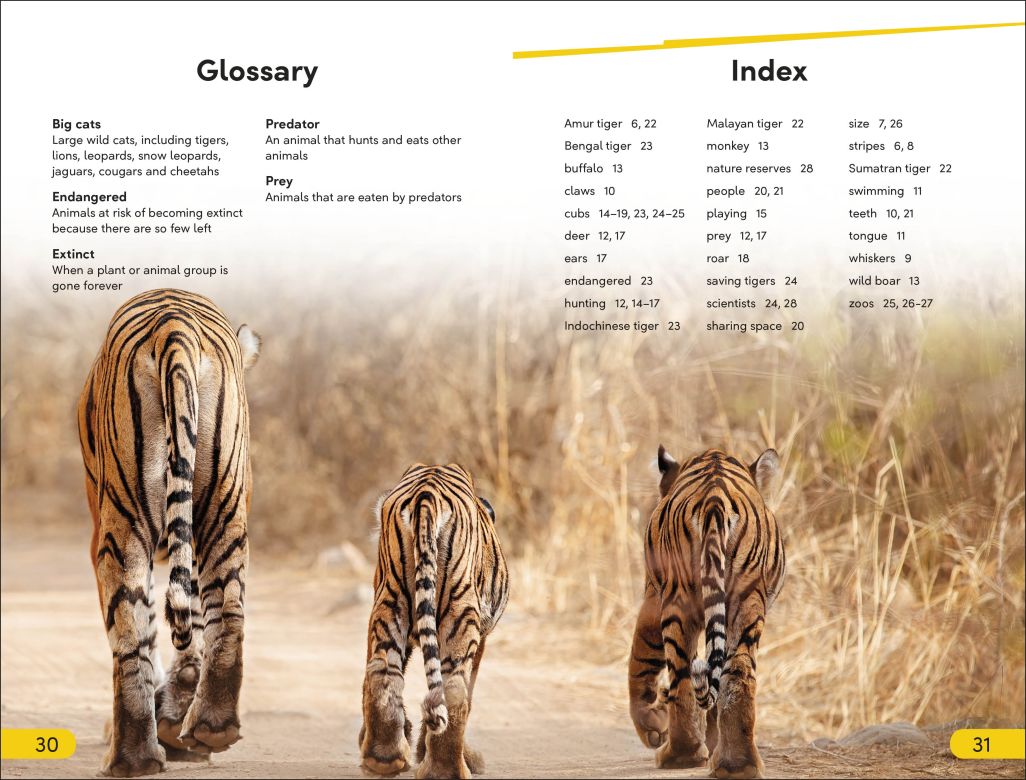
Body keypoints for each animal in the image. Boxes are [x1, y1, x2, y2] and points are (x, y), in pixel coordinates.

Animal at [78, 288, 260, 777]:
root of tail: (173, 322)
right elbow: (192, 620)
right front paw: (178, 718)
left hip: (121, 523)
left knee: (128, 630)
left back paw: (130, 756)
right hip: (224, 504)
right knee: (227, 607)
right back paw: (210, 726)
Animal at [359, 463, 509, 780]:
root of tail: (428, 490)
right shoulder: (482, 636)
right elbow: (469, 693)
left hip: (391, 602)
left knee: (382, 672)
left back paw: (382, 759)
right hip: (460, 613)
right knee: (454, 690)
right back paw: (447, 770)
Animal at [627, 446, 785, 779]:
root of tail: (715, 498)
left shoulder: (652, 596)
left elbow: (640, 658)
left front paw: (651, 726)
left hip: (678, 599)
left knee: (682, 674)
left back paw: (679, 754)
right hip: (746, 601)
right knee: (737, 672)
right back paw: (737, 764)